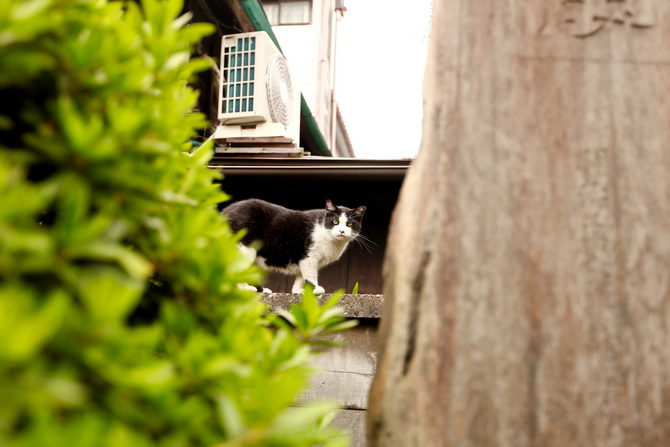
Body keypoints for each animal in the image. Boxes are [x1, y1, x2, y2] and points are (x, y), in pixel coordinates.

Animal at [222, 199, 368, 296]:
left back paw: (262, 290)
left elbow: (301, 276)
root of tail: (224, 212)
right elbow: (310, 274)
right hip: (245, 249)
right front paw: (315, 288)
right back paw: (245, 289)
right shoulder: (309, 256)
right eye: (335, 222)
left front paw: (298, 291)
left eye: (349, 224)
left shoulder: (304, 260)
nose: (342, 231)